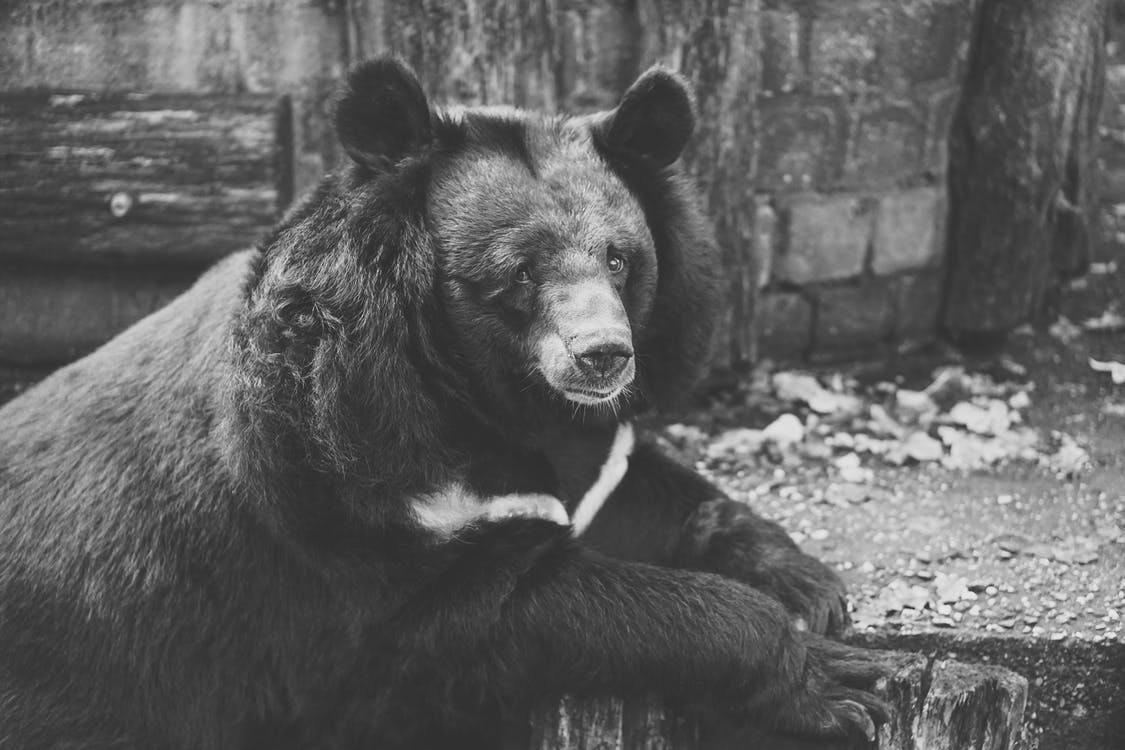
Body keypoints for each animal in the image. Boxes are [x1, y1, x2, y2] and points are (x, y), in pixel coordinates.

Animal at [0, 57, 888, 749]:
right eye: (520, 271)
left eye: (619, 257)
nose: (603, 355)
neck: (488, 394)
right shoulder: (341, 509)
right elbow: (492, 619)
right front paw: (833, 683)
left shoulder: (590, 450)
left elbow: (649, 493)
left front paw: (811, 589)